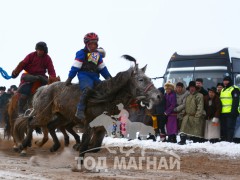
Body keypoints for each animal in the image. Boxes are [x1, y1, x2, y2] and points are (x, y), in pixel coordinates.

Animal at [18, 54, 161, 160]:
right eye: (141, 80)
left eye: (149, 79)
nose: (158, 96)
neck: (104, 98)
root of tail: (43, 89)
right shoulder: (89, 124)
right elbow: (86, 143)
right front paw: (78, 148)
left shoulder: (101, 128)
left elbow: (95, 146)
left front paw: (78, 146)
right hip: (44, 113)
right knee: (31, 123)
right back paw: (23, 146)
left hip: (63, 117)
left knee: (50, 126)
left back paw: (54, 145)